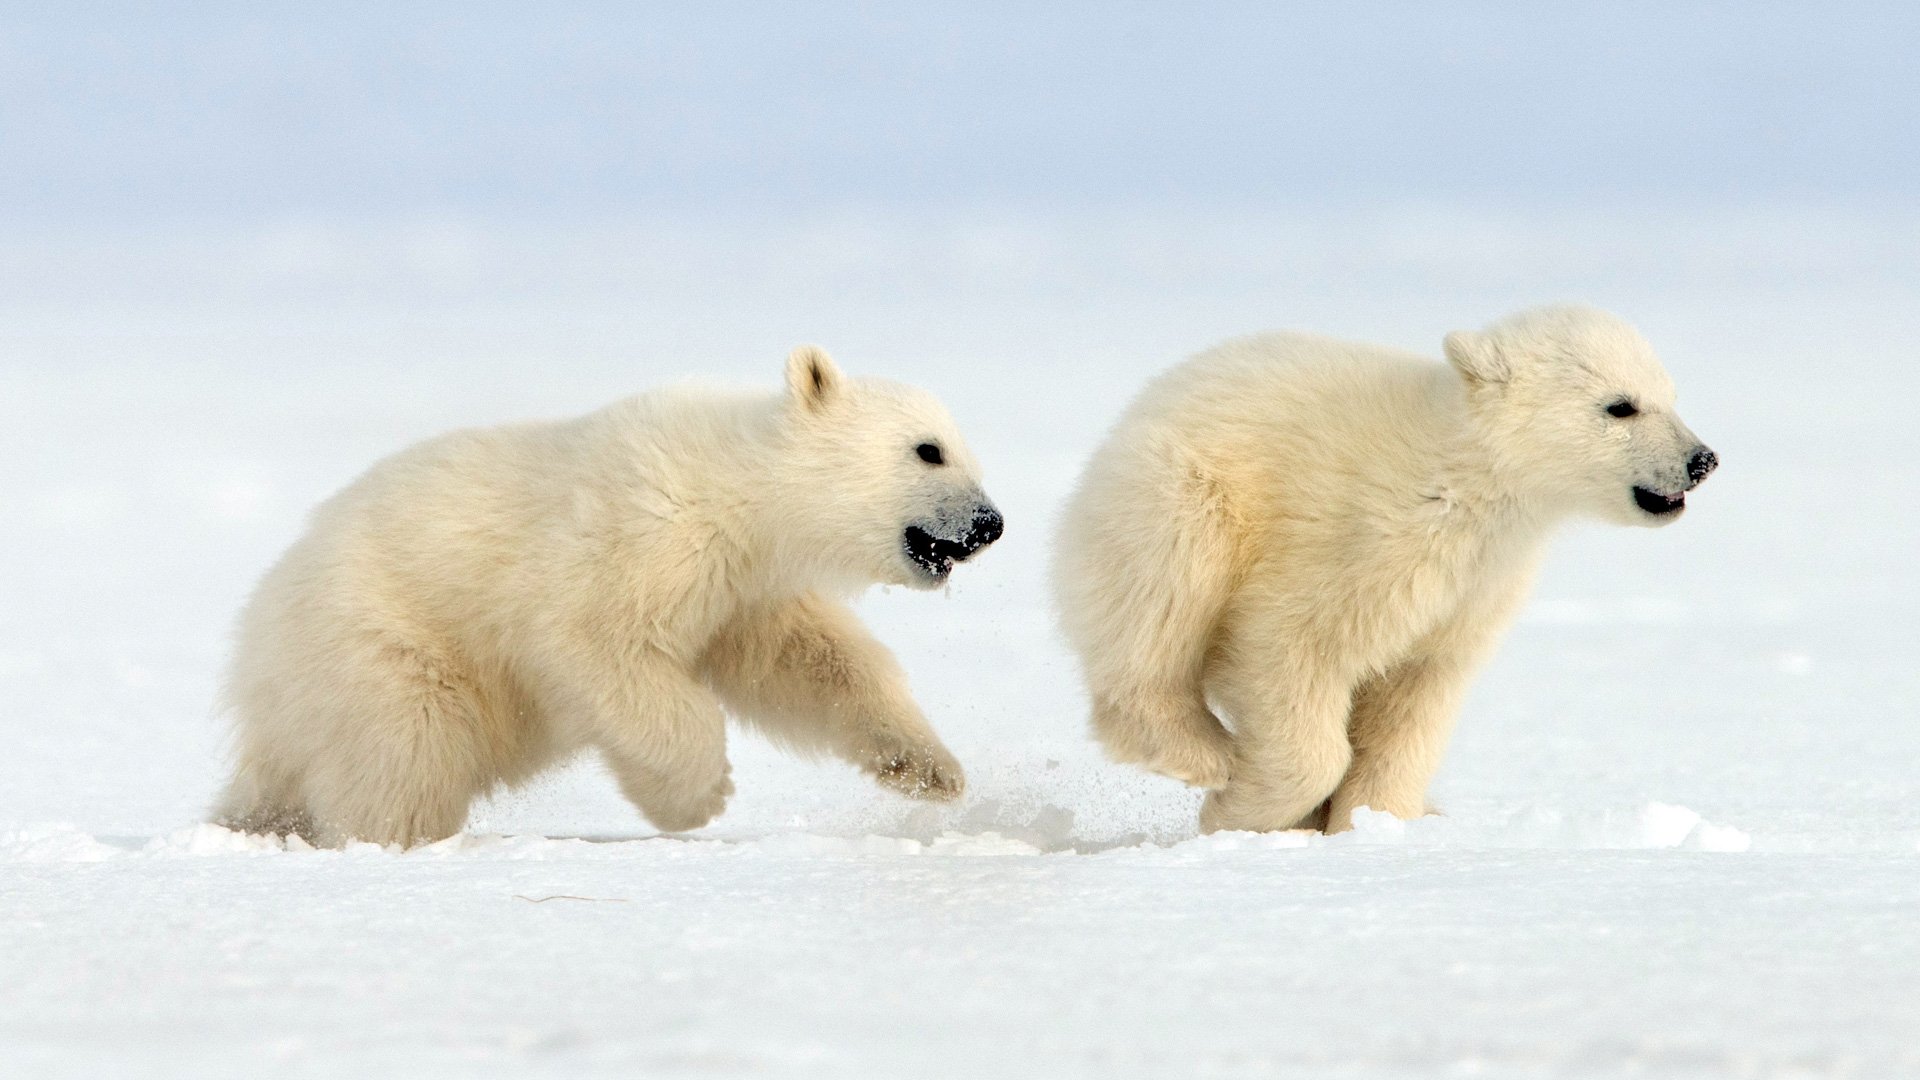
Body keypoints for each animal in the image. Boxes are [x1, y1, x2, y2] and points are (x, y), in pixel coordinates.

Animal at [216, 349, 1006, 845]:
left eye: (966, 450)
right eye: (928, 449)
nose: (991, 524)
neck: (734, 486)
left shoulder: (745, 593)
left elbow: (811, 663)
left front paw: (930, 768)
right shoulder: (643, 534)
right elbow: (596, 645)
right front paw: (702, 795)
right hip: (382, 643)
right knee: (407, 753)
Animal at [1059, 303, 1720, 834]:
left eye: (1670, 395)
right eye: (1620, 406)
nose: (1702, 460)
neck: (1460, 476)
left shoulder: (1475, 589)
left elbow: (1415, 698)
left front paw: (1373, 822)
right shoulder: (1359, 542)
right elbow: (1290, 645)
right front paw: (1239, 809)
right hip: (1174, 494)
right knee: (1159, 604)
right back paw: (1201, 752)